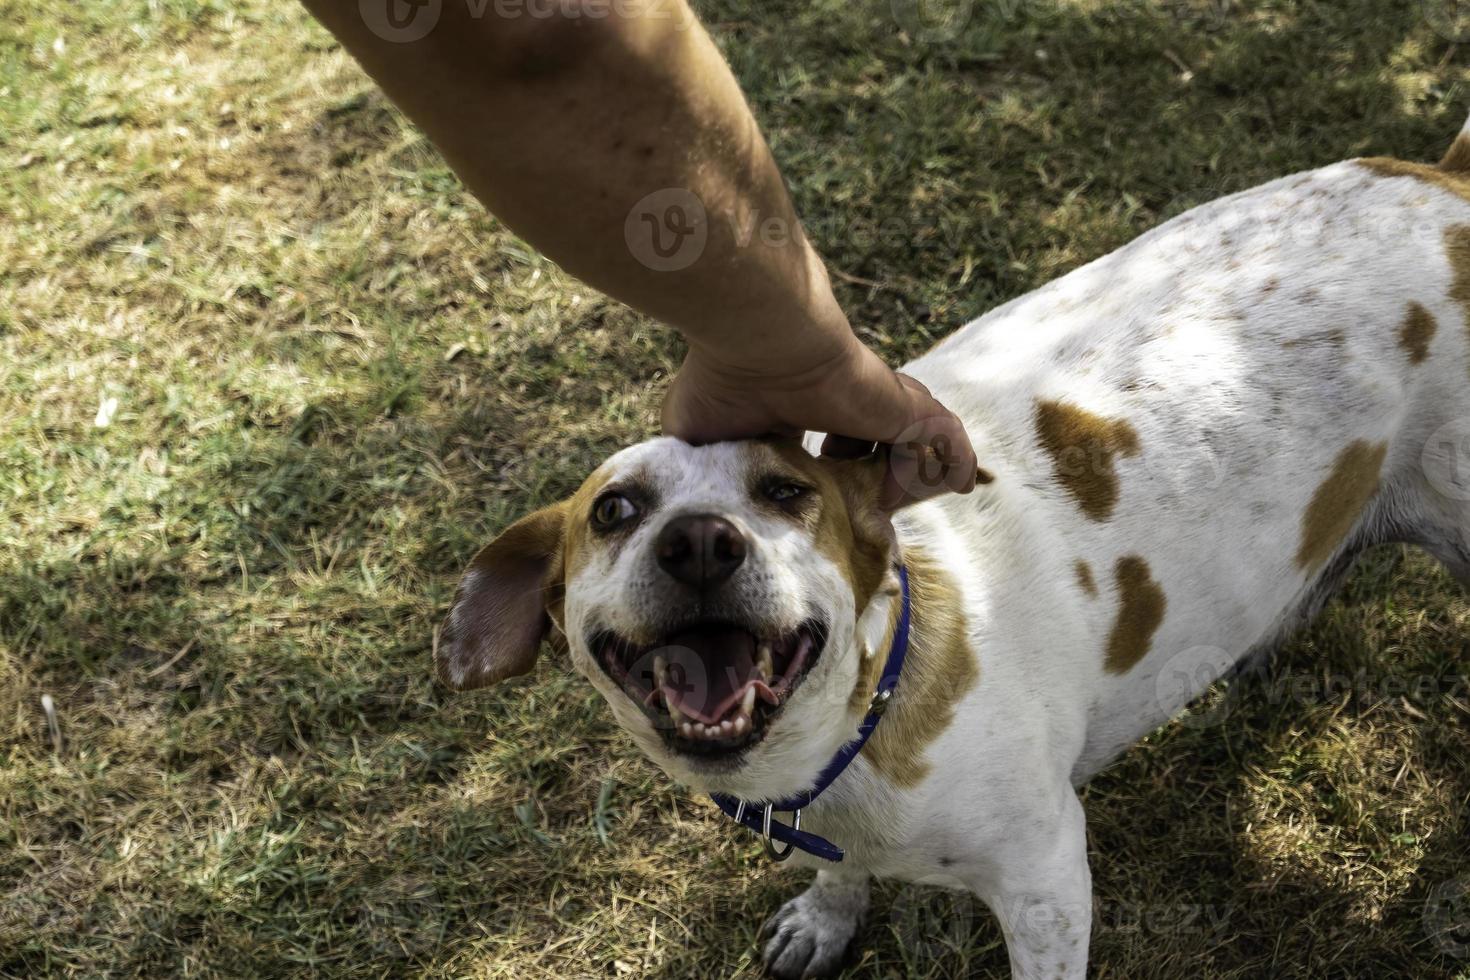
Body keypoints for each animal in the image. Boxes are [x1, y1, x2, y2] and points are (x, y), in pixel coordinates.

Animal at [441, 116, 1470, 980]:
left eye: (786, 492)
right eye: (615, 509)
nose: (698, 542)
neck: (870, 707)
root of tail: (1444, 180)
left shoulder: (1047, 882)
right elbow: (837, 877)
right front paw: (826, 916)